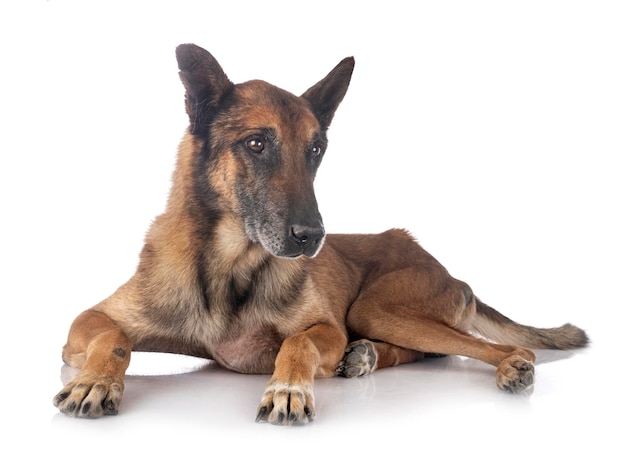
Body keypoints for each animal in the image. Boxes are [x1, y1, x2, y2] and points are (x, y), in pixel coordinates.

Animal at [52, 43, 584, 424]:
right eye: (256, 144)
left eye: (316, 149)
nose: (312, 238)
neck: (228, 265)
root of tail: (448, 269)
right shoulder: (86, 321)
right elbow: (113, 336)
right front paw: (95, 381)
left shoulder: (325, 327)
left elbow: (298, 344)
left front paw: (288, 387)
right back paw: (364, 356)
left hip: (378, 306)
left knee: (494, 347)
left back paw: (502, 364)